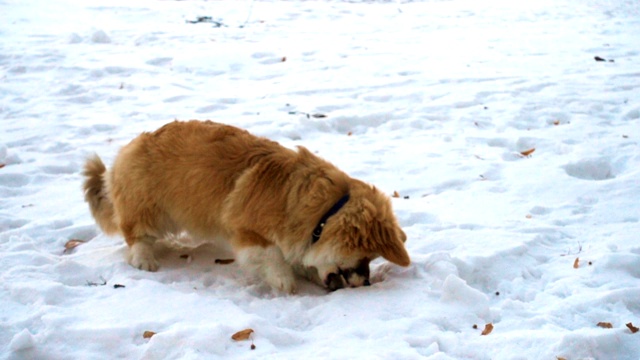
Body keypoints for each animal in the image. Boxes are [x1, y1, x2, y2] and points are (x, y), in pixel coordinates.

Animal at [84, 120, 410, 292]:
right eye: (365, 257)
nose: (366, 284)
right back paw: (145, 260)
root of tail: (127, 150)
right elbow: (273, 257)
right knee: (136, 235)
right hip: (149, 211)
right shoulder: (247, 232)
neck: (325, 213)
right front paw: (285, 281)